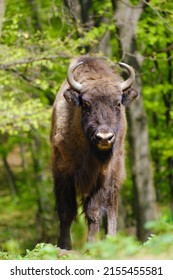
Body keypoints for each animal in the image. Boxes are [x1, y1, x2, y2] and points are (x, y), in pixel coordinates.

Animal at [50, 55, 138, 249]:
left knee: (112, 207)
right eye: (86, 104)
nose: (104, 137)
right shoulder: (62, 170)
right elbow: (65, 210)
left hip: (116, 172)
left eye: (117, 103)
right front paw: (64, 245)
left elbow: (94, 211)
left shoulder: (101, 176)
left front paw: (91, 245)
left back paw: (111, 239)